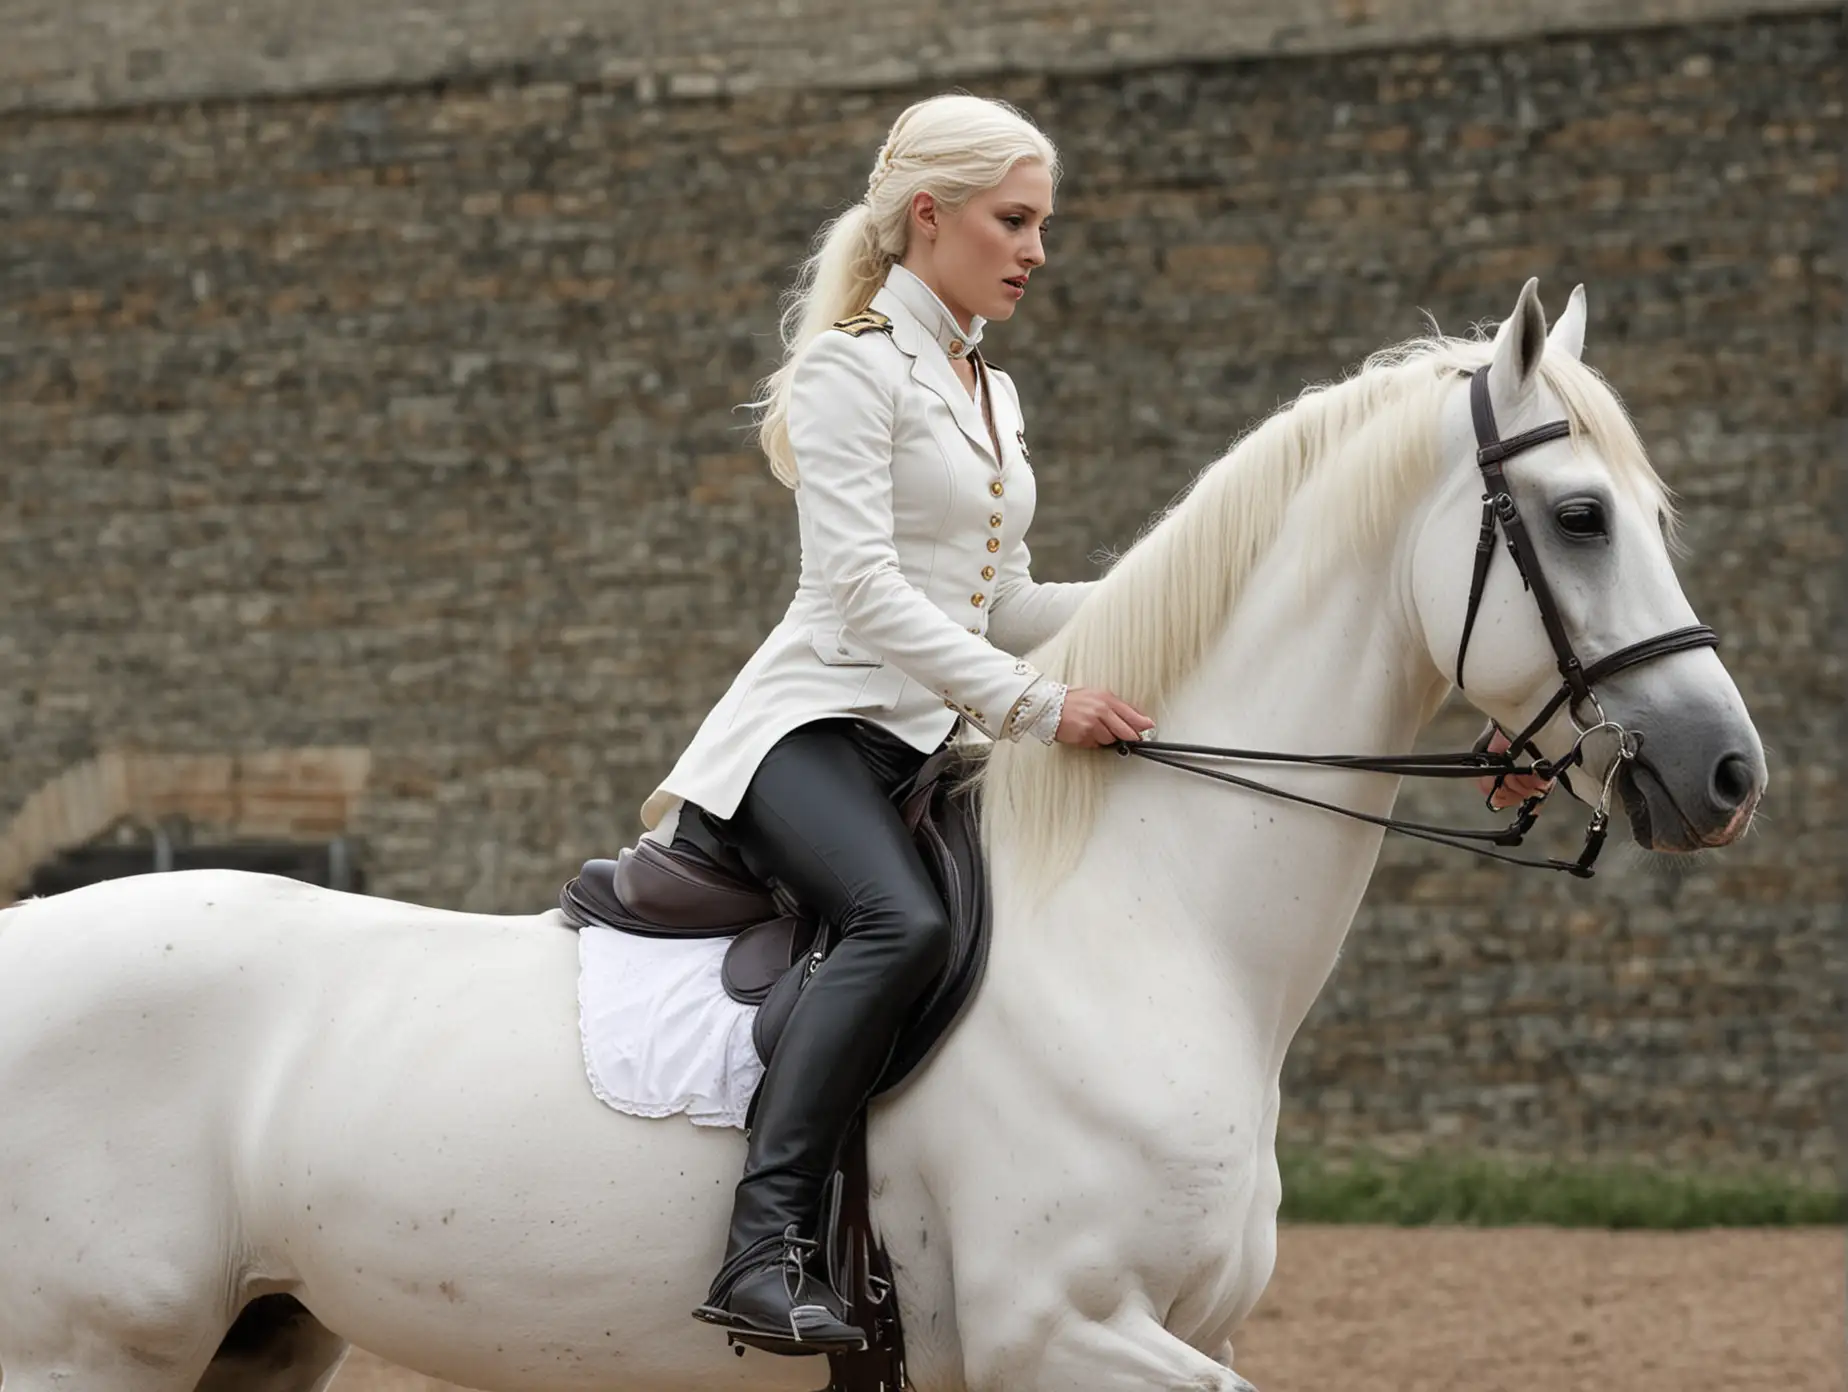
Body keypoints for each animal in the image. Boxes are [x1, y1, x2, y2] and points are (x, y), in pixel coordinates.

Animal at [0, 282, 1759, 1390]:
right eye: (1583, 518)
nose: (1728, 771)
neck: (1145, 926)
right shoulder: (1068, 1332)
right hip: (79, 1351)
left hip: (255, 1340)